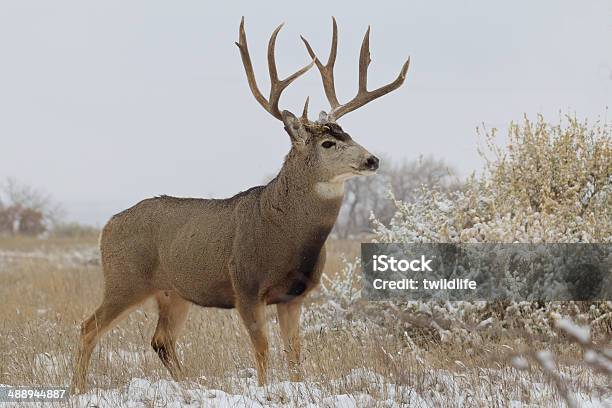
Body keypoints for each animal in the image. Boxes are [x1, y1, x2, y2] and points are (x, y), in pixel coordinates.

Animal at [71, 16, 408, 392]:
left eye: (348, 133)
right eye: (328, 143)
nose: (372, 160)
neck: (285, 235)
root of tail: (106, 226)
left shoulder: (295, 296)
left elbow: (294, 352)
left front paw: (297, 388)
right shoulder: (245, 285)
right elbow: (261, 347)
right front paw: (263, 390)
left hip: (173, 292)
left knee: (161, 340)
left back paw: (188, 388)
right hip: (125, 279)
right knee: (88, 328)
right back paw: (77, 389)